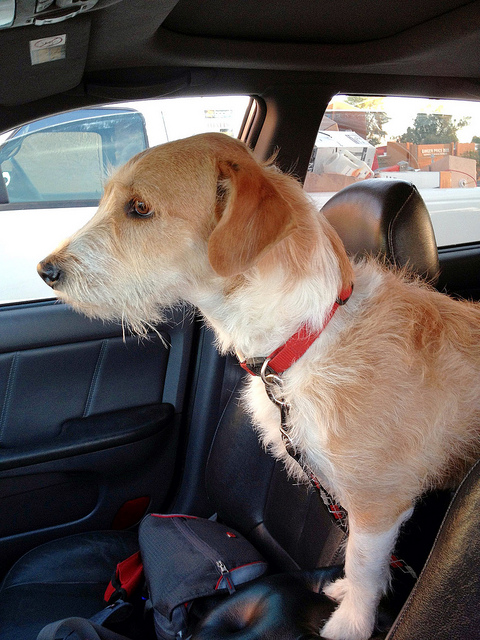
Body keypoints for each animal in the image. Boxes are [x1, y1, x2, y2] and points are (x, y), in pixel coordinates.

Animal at [38, 132, 480, 640]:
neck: (305, 338)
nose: (45, 270)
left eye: (140, 208)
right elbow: (357, 562)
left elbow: (364, 564)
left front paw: (350, 623)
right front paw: (345, 594)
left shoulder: (378, 503)